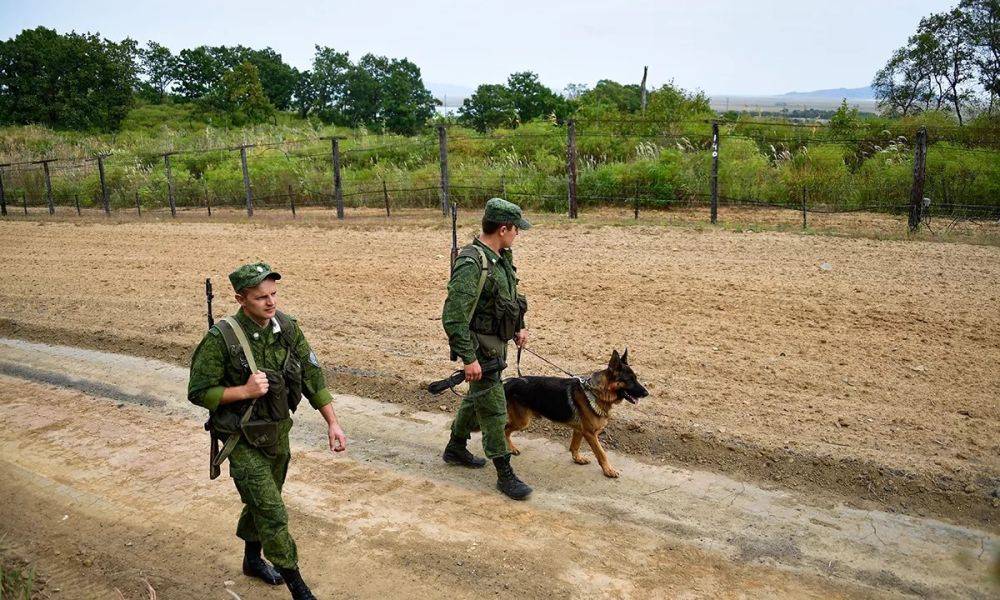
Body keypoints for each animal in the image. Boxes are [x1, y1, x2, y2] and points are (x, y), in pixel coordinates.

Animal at [504, 346, 652, 478]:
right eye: (629, 380)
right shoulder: (590, 433)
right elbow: (601, 453)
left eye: (636, 378)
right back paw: (510, 448)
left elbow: (575, 446)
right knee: (505, 429)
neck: (596, 392)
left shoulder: (580, 430)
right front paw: (608, 470)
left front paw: (577, 459)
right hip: (522, 421)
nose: (647, 393)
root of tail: (509, 382)